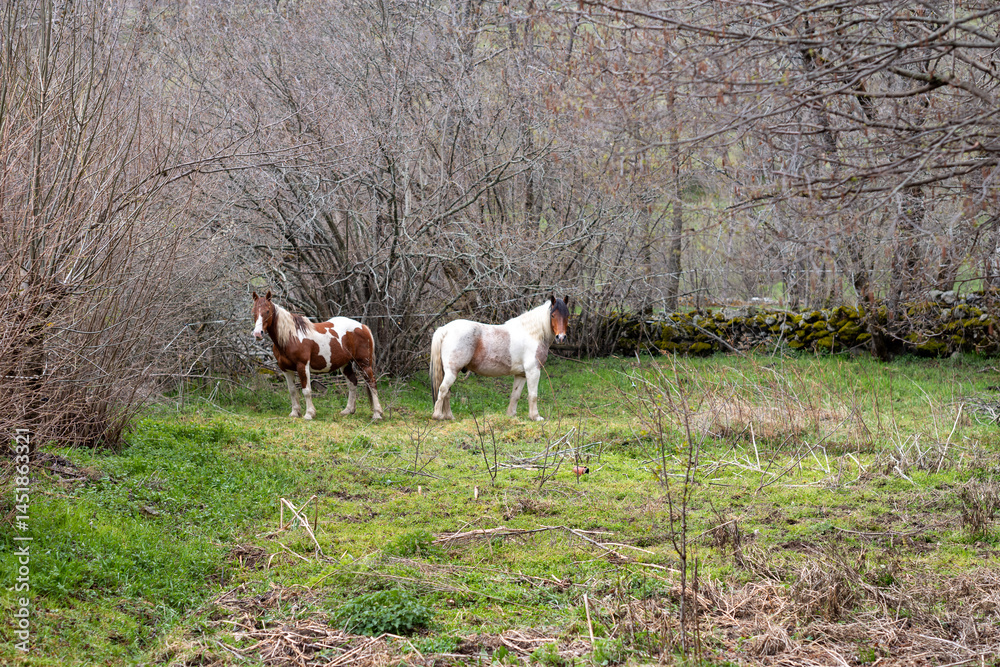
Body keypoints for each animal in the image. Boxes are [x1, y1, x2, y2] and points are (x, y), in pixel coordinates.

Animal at [251, 291, 383, 420]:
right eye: (254, 311)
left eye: (267, 311)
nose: (258, 334)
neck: (291, 337)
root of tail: (363, 326)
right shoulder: (285, 369)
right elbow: (292, 390)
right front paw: (295, 413)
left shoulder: (302, 366)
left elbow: (306, 390)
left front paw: (309, 414)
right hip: (346, 364)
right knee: (352, 383)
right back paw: (348, 410)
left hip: (364, 363)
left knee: (372, 383)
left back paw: (377, 414)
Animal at [429, 295, 570, 421]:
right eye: (553, 315)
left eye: (567, 315)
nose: (561, 337)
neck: (533, 334)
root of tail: (445, 329)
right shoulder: (533, 371)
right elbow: (533, 395)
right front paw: (535, 417)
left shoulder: (521, 374)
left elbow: (515, 395)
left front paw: (511, 415)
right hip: (452, 371)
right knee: (443, 390)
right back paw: (438, 416)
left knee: (447, 392)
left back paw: (449, 416)